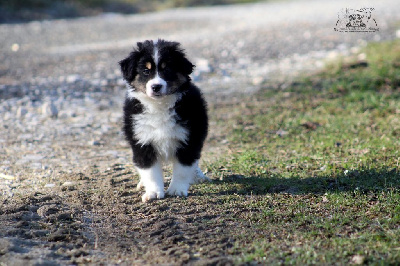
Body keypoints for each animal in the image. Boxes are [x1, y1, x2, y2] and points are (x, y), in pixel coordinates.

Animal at [119, 39, 209, 202]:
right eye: (146, 71)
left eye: (167, 70)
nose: (156, 86)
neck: (159, 106)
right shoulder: (142, 141)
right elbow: (150, 171)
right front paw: (153, 192)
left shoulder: (188, 139)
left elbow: (183, 168)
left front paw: (177, 190)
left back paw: (198, 176)